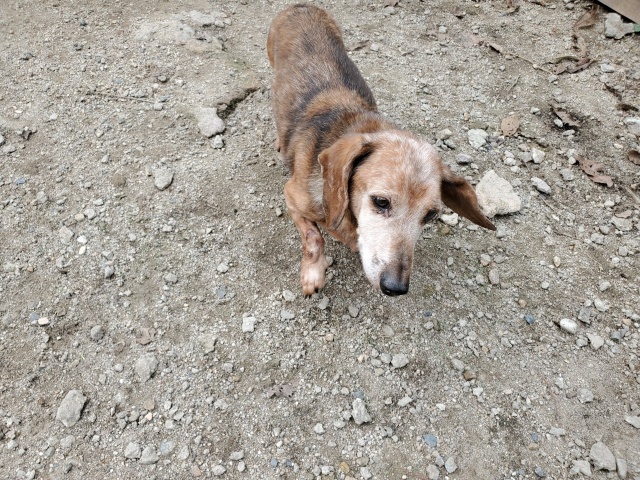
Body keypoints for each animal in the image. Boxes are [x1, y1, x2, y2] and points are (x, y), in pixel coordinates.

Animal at [267, 3, 495, 297]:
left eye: (430, 215)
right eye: (381, 202)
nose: (396, 288)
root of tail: (301, 5)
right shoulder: (293, 197)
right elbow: (314, 237)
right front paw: (313, 274)